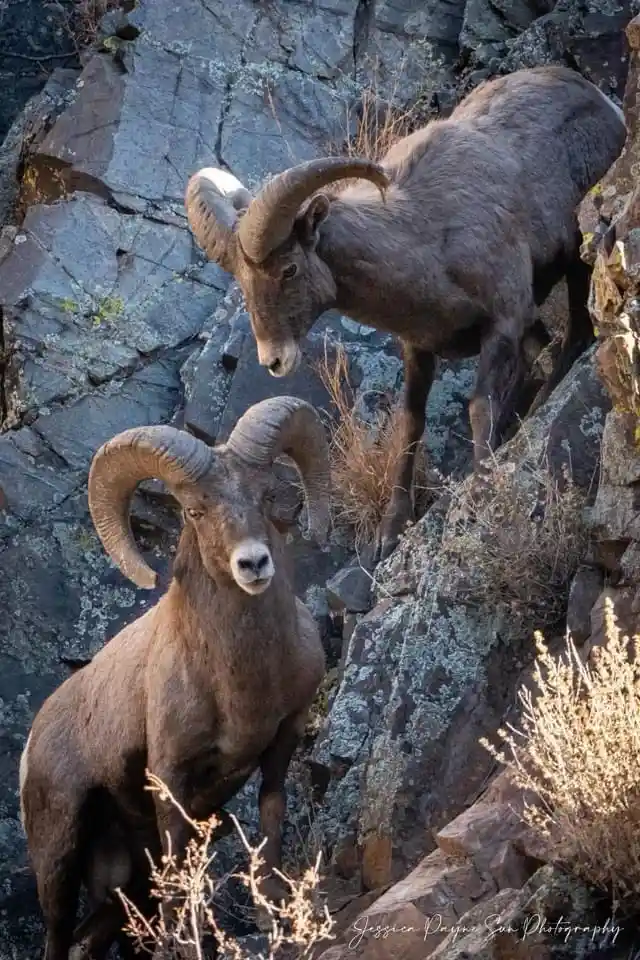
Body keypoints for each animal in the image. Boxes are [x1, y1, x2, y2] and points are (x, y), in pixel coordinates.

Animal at [19, 395, 330, 960]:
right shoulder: (171, 780)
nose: (254, 564)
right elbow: (179, 877)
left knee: (88, 939)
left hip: (121, 882)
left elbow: (269, 829)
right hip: (57, 854)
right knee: (57, 934)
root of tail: (35, 736)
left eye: (263, 495)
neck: (238, 682)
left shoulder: (282, 739)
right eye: (194, 511)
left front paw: (274, 919)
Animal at [184, 64, 627, 559]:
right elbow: (410, 425)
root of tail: (606, 106)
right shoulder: (420, 349)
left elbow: (479, 407)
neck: (426, 238)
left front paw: (478, 497)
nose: (273, 359)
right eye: (242, 279)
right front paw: (390, 533)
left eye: (289, 268)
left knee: (576, 336)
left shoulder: (503, 323)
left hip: (577, 261)